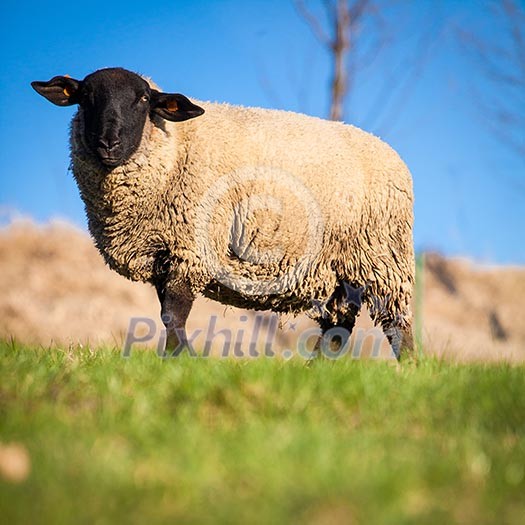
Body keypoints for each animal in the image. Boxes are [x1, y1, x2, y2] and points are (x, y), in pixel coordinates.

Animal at [31, 66, 414, 356]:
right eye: (86, 98)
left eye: (142, 100)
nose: (107, 143)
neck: (174, 148)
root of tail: (392, 154)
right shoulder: (163, 254)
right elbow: (167, 314)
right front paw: (180, 357)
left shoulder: (192, 249)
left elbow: (173, 315)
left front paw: (180, 359)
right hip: (335, 270)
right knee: (339, 326)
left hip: (383, 258)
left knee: (397, 325)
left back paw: (408, 371)